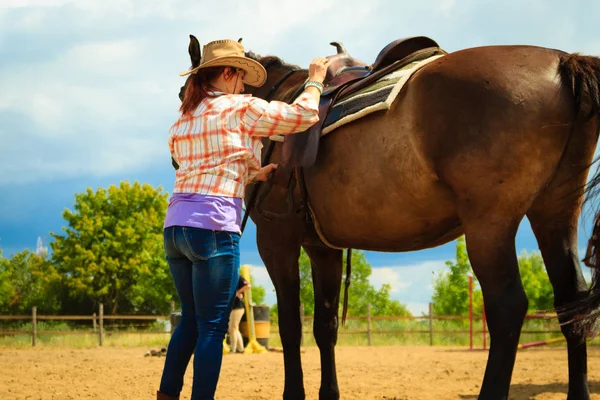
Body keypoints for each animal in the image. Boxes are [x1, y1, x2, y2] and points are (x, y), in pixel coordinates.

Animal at [180, 35, 600, 400]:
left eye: (186, 93)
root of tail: (562, 61)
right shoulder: (323, 248)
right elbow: (325, 326)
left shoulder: (276, 242)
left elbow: (291, 327)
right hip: (556, 212)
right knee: (572, 303)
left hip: (490, 226)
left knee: (507, 309)